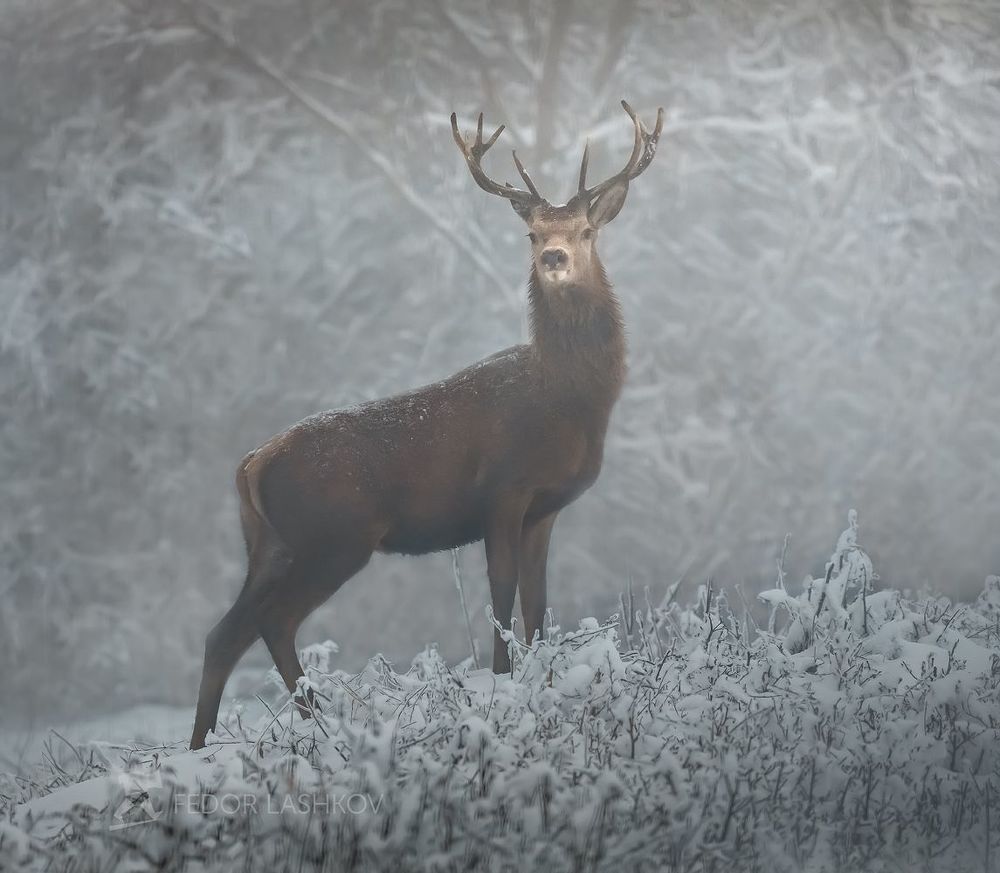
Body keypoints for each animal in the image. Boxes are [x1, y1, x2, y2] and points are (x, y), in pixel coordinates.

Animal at [190, 100, 663, 750]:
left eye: (585, 231)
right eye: (532, 234)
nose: (554, 257)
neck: (569, 402)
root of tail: (251, 464)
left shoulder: (544, 508)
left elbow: (537, 604)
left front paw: (540, 679)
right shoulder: (503, 491)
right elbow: (501, 593)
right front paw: (503, 684)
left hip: (268, 543)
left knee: (223, 633)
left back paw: (205, 745)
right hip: (333, 534)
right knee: (273, 619)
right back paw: (323, 725)